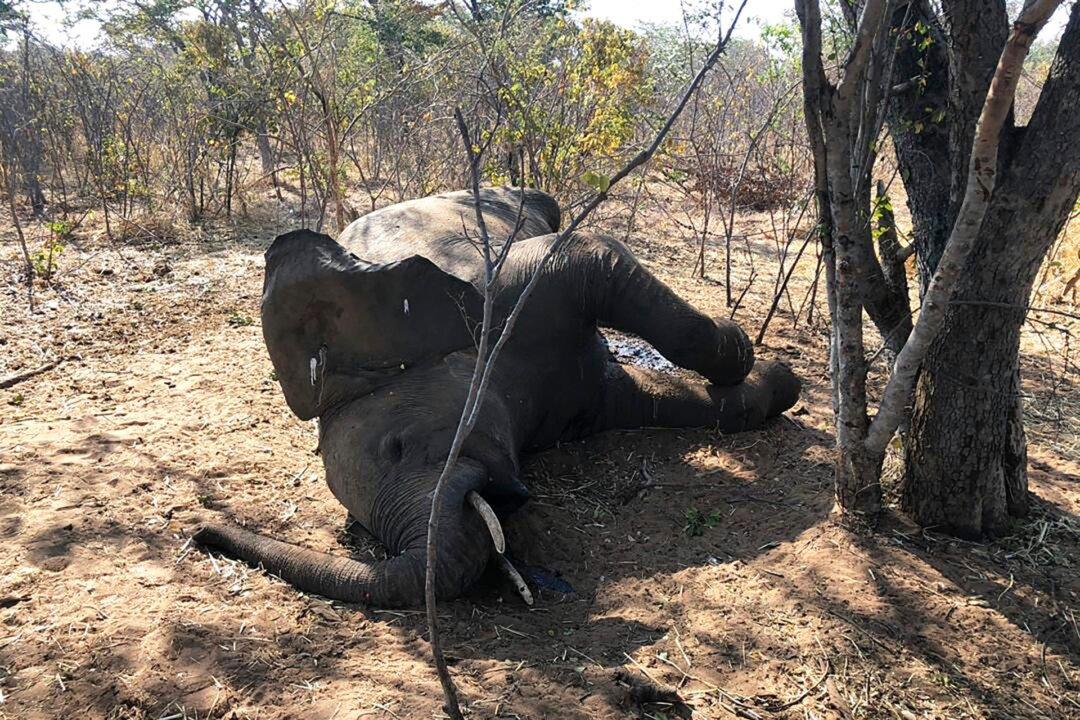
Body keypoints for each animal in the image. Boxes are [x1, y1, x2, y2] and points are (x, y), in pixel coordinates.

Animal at [194, 187, 800, 607]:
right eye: (360, 526)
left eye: (398, 447)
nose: (201, 532)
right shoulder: (583, 403)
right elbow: (660, 401)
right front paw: (778, 380)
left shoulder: (498, 294)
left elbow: (591, 254)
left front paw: (750, 357)